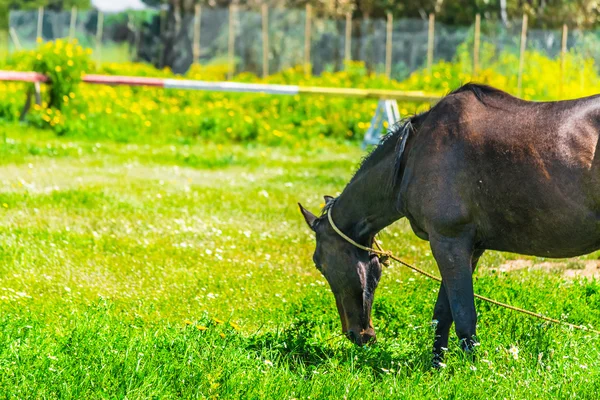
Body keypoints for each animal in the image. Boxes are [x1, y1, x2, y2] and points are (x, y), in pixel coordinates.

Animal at [300, 84, 600, 366]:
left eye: (319, 263)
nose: (358, 335)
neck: (413, 155)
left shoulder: (448, 241)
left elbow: (464, 315)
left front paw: (473, 371)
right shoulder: (467, 248)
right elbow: (443, 314)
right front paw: (437, 367)